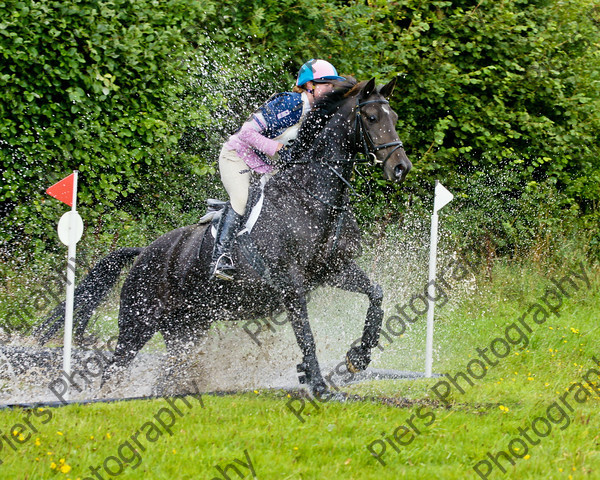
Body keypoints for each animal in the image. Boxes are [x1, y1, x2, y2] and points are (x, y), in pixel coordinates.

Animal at [35, 77, 412, 396]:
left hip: (187, 329)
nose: (400, 167)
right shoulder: (290, 284)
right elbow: (306, 334)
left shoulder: (333, 270)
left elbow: (376, 295)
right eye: (373, 117)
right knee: (113, 370)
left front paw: (358, 357)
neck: (312, 197)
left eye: (394, 116)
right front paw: (318, 385)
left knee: (166, 375)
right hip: (138, 323)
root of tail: (143, 252)